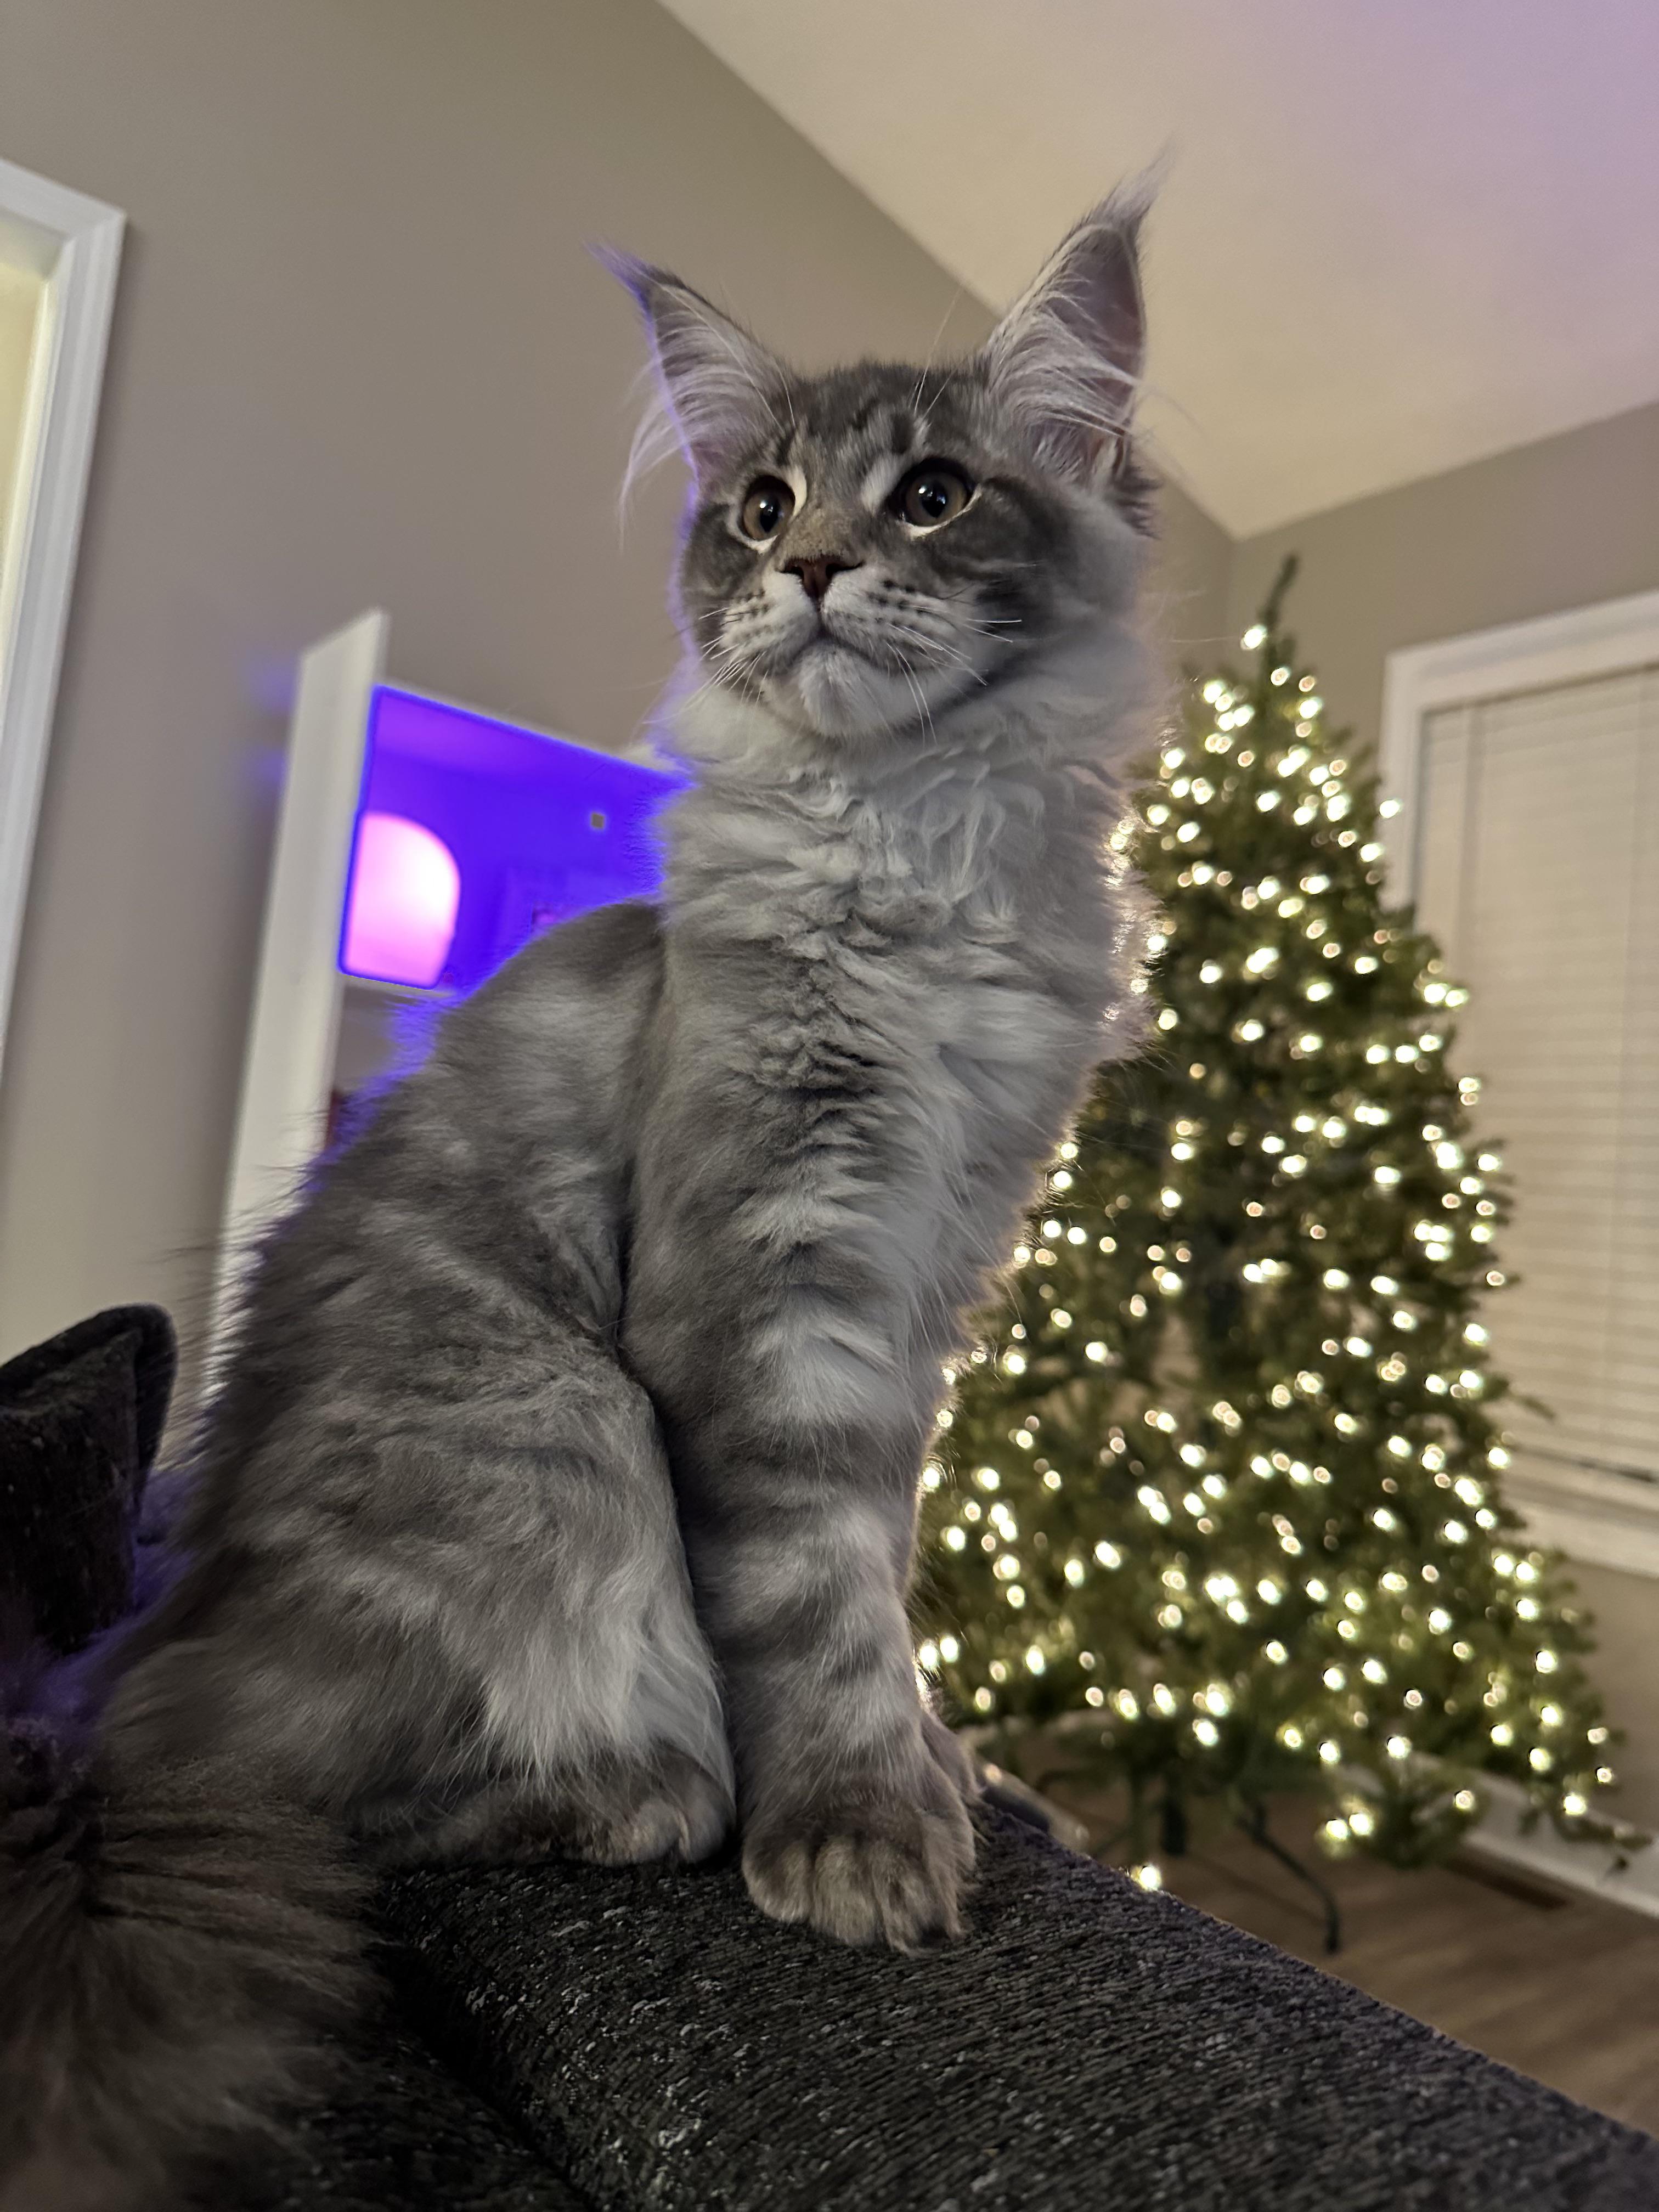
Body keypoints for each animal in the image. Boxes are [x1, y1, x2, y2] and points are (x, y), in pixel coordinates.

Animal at [0, 181, 1159, 2203]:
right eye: (761, 508)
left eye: (932, 494)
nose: (815, 568)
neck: (915, 847)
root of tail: (122, 1688)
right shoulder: (762, 1294)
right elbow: (814, 1595)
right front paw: (859, 1829)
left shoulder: (925, 1290)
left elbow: (892, 1567)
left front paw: (950, 1768)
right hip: (563, 1422)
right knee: (414, 1802)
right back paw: (653, 1795)